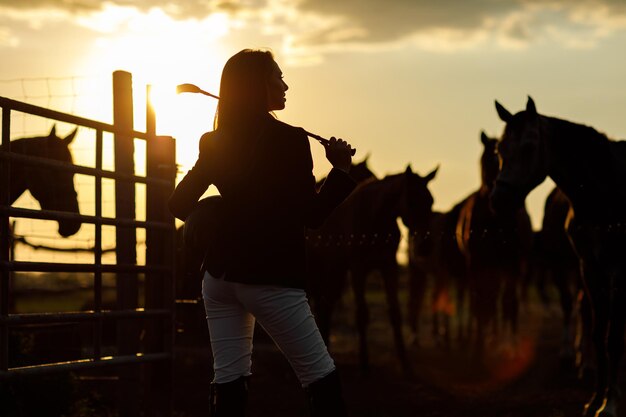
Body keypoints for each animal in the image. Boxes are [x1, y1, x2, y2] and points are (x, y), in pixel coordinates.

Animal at [306, 164, 434, 372]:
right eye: (412, 200)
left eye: (431, 201)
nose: (425, 246)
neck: (376, 217)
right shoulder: (358, 269)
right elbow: (362, 314)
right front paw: (364, 361)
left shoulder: (389, 267)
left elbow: (395, 312)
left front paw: (404, 362)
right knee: (321, 304)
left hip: (335, 270)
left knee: (327, 304)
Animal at [454, 130, 532, 352]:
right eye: (487, 158)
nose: (499, 198)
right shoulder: (476, 262)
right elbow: (480, 304)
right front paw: (478, 344)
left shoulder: (511, 264)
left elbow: (506, 303)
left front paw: (509, 344)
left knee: (505, 302)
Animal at [490, 96, 624, 416]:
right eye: (500, 149)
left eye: (528, 147)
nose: (499, 200)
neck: (604, 190)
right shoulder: (590, 268)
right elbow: (598, 332)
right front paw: (595, 399)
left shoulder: (617, 270)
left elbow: (613, 336)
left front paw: (610, 403)